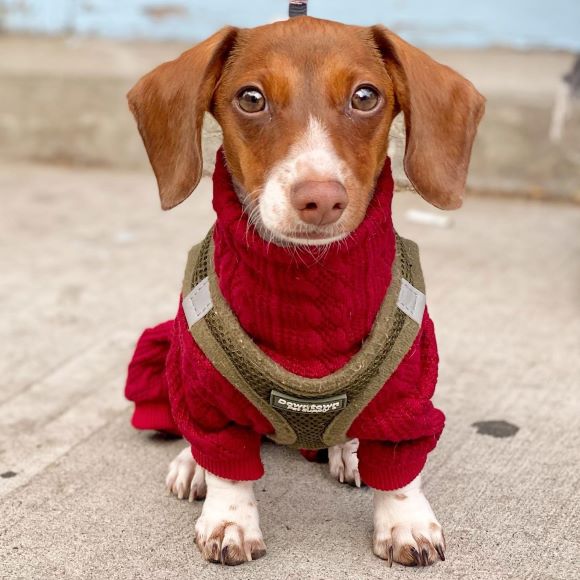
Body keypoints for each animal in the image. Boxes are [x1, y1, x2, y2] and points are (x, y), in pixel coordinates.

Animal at [125, 14, 484, 568]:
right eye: (251, 98)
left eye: (365, 96)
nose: (321, 199)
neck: (310, 277)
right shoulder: (204, 388)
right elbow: (226, 461)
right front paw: (229, 518)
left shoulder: (408, 393)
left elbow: (401, 468)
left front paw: (405, 522)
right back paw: (192, 464)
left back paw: (349, 450)